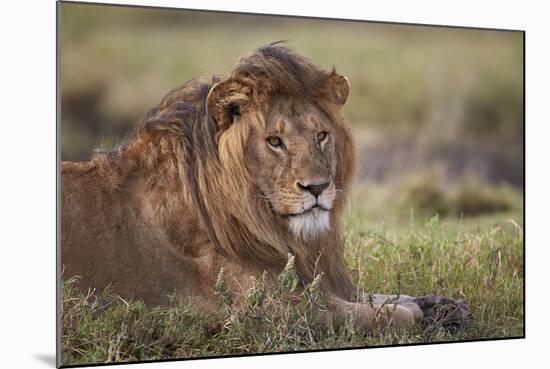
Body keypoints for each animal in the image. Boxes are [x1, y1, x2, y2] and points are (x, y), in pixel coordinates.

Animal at [62, 43, 472, 330]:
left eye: (322, 135)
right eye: (275, 141)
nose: (317, 187)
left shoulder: (317, 281)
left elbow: (381, 295)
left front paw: (443, 304)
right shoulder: (269, 309)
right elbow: (388, 314)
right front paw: (418, 312)